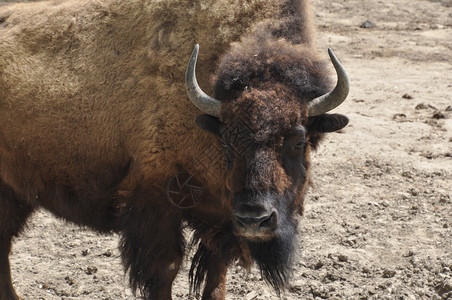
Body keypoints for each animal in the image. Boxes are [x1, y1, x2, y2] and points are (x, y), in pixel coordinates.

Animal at [0, 0, 350, 298]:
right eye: (226, 140)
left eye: (298, 140)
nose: (256, 219)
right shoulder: (154, 197)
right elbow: (165, 268)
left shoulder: (223, 217)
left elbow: (217, 271)